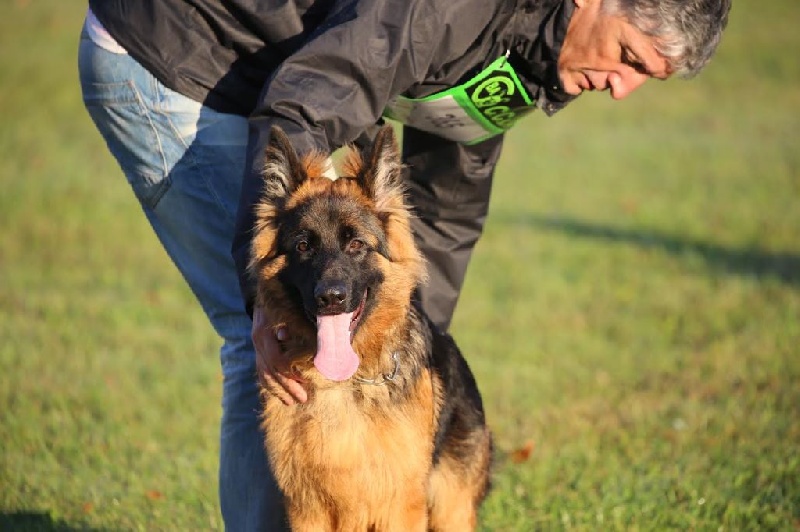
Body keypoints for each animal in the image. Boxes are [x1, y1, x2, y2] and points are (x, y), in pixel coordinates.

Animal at [250, 125, 490, 532]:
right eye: (303, 246)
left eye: (357, 244)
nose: (331, 298)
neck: (343, 383)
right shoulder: (306, 510)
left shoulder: (399, 507)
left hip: (450, 510)